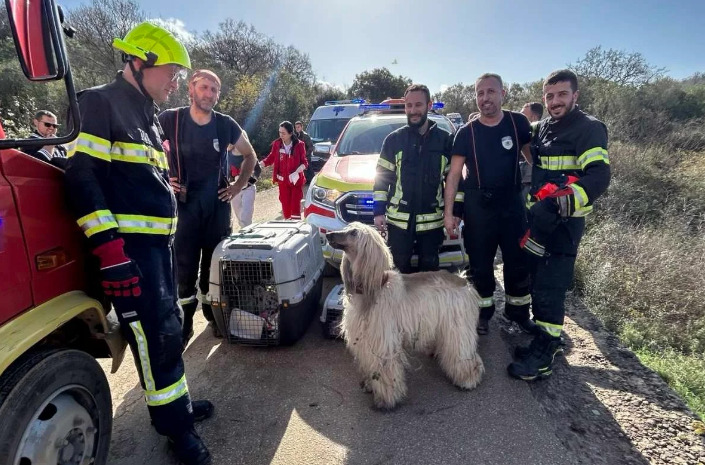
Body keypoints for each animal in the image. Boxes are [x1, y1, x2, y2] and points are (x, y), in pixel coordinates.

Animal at [326, 221, 484, 406]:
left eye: (354, 233)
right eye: (346, 229)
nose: (328, 235)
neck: (372, 290)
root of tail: (463, 280)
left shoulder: (382, 339)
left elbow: (384, 369)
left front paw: (387, 398)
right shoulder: (363, 336)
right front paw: (370, 385)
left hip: (457, 326)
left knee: (463, 352)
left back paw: (468, 379)